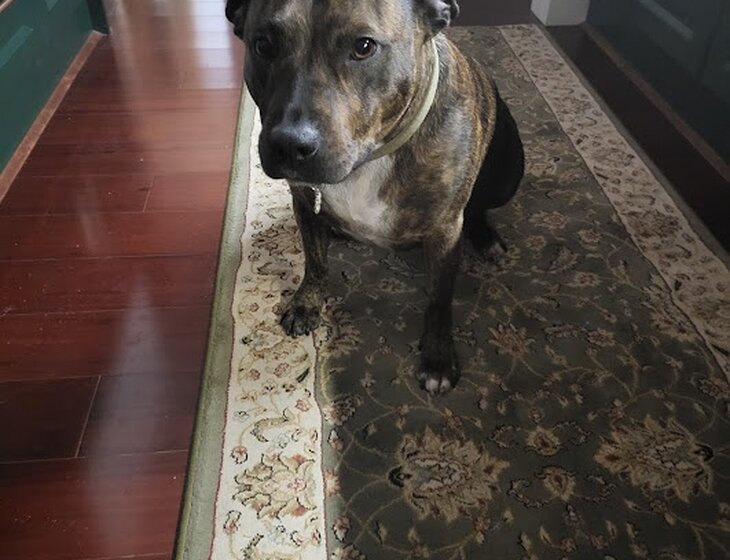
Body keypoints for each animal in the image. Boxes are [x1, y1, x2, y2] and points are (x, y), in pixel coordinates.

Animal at [225, 0, 524, 395]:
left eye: (364, 47)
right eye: (263, 45)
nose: (289, 144)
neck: (370, 156)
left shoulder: (445, 233)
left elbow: (439, 299)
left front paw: (438, 356)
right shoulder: (304, 202)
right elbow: (314, 262)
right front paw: (307, 303)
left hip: (509, 173)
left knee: (477, 207)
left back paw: (486, 238)